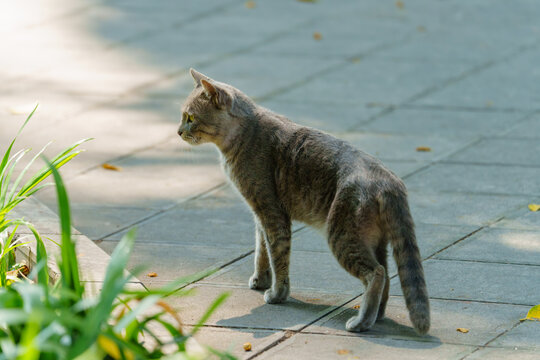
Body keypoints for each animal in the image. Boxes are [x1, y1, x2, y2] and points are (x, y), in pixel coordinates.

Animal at [177, 68, 430, 334]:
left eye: (190, 117)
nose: (178, 131)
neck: (243, 134)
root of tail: (388, 180)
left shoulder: (271, 212)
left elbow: (277, 256)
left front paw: (277, 293)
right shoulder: (259, 213)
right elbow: (261, 250)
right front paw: (260, 280)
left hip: (342, 235)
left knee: (377, 274)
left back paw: (361, 321)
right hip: (375, 241)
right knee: (388, 276)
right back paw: (377, 316)